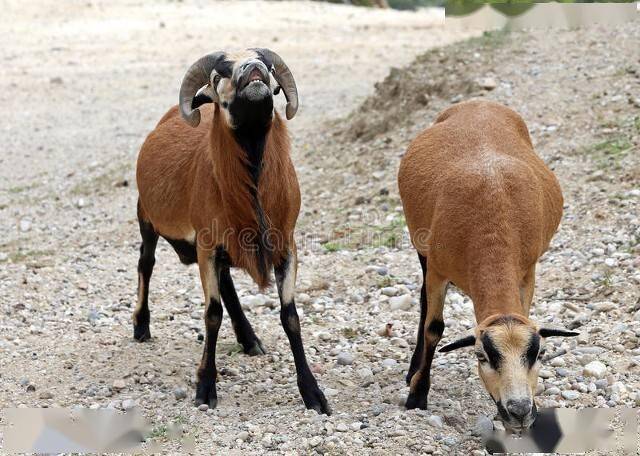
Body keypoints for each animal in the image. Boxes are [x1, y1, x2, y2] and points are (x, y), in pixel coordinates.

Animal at [132, 49, 328, 414]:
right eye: (218, 73)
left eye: (266, 63)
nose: (253, 69)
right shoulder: (207, 246)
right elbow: (212, 315)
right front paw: (205, 389)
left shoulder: (286, 247)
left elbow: (290, 317)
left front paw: (314, 395)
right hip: (146, 217)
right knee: (146, 264)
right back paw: (141, 326)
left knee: (225, 283)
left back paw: (249, 340)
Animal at [398, 100, 576, 432]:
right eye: (482, 357)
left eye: (539, 353)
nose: (519, 411)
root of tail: (477, 102)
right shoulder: (438, 271)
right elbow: (433, 328)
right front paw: (417, 395)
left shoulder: (527, 272)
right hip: (422, 249)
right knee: (424, 303)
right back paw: (413, 369)